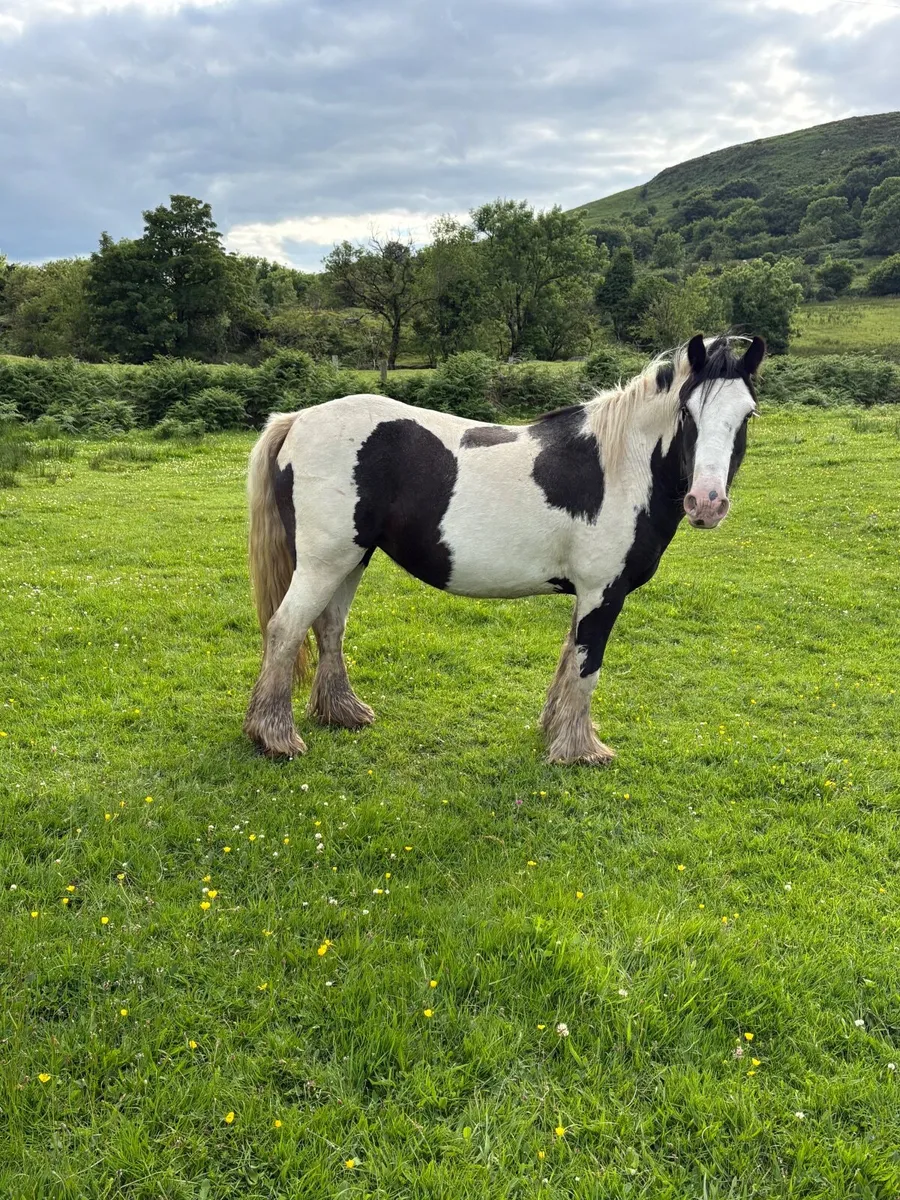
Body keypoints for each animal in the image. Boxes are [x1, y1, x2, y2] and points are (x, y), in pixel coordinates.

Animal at [243, 333, 765, 765]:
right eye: (687, 412)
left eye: (748, 415)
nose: (707, 503)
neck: (621, 465)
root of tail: (298, 419)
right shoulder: (603, 593)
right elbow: (587, 666)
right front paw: (579, 751)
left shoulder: (587, 594)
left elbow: (569, 661)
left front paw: (555, 731)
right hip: (322, 564)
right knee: (285, 630)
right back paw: (274, 737)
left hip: (350, 561)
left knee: (329, 628)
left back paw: (342, 713)